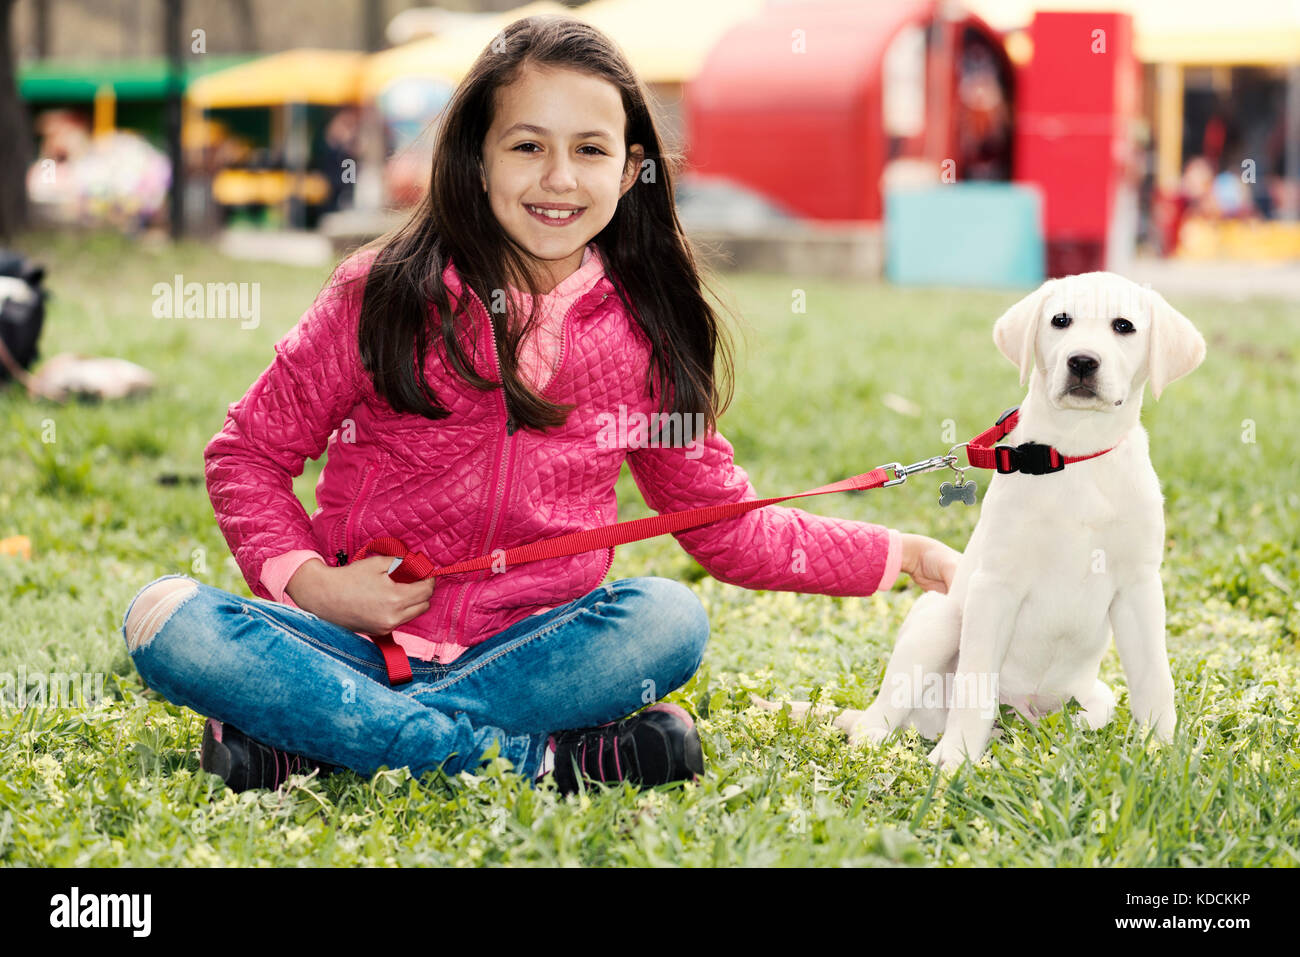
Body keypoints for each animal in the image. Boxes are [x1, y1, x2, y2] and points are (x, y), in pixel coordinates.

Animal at [759, 269, 1206, 769]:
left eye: (1123, 326)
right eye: (1061, 320)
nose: (1082, 362)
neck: (1073, 454)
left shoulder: (1139, 587)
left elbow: (1154, 678)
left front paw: (1166, 750)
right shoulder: (995, 586)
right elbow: (975, 685)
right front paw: (955, 759)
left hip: (1095, 697)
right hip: (939, 618)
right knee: (886, 711)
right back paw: (881, 739)